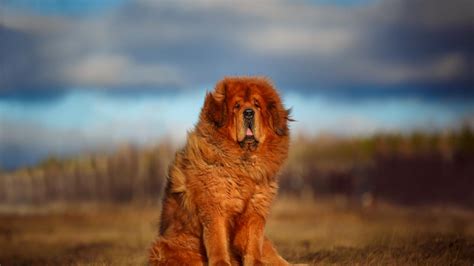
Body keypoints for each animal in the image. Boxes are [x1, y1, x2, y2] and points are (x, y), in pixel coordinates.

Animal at [150, 76, 290, 264]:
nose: (249, 113)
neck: (243, 164)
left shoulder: (255, 212)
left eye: (257, 105)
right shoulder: (215, 209)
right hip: (169, 246)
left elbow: (252, 244)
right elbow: (218, 243)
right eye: (237, 106)